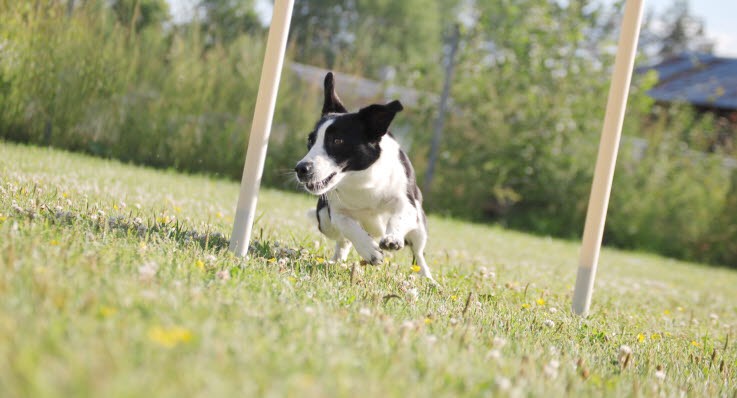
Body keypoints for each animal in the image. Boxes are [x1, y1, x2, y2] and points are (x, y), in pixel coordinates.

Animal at [294, 72, 434, 282]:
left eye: (337, 140)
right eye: (310, 141)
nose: (301, 169)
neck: (360, 181)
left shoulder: (408, 204)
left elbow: (398, 217)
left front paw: (392, 238)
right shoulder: (335, 211)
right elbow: (348, 225)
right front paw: (369, 250)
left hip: (420, 228)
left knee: (418, 253)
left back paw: (428, 279)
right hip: (324, 221)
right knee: (342, 240)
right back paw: (337, 260)